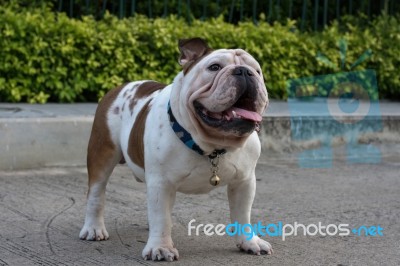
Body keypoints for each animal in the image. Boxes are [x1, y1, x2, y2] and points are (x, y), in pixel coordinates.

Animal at [78, 38, 272, 262]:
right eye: (214, 67)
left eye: (257, 71)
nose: (244, 72)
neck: (211, 145)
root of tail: (120, 87)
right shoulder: (161, 182)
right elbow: (161, 217)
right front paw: (160, 248)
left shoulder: (244, 182)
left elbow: (242, 214)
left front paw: (249, 242)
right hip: (102, 152)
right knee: (96, 193)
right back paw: (93, 229)